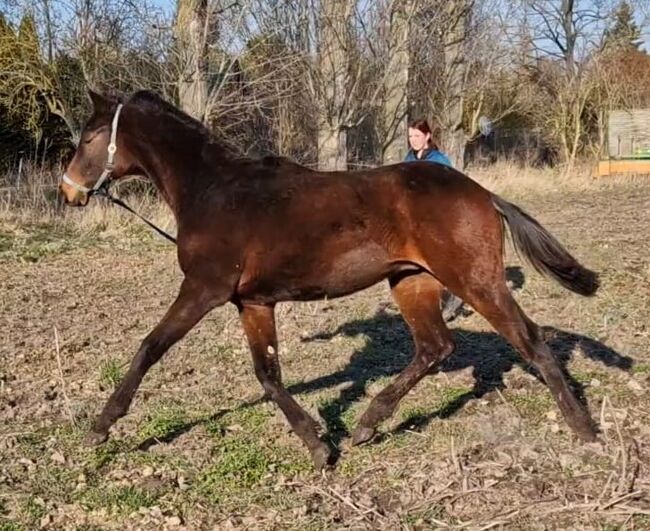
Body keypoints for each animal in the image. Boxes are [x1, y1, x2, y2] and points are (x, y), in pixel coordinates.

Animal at [59, 90, 596, 470]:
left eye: (87, 139)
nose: (69, 192)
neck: (214, 191)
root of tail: (484, 195)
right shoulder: (253, 302)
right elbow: (268, 374)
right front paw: (320, 445)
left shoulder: (203, 290)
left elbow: (150, 347)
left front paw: (100, 427)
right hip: (411, 282)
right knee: (434, 347)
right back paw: (366, 426)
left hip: (475, 281)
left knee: (529, 339)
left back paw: (583, 428)